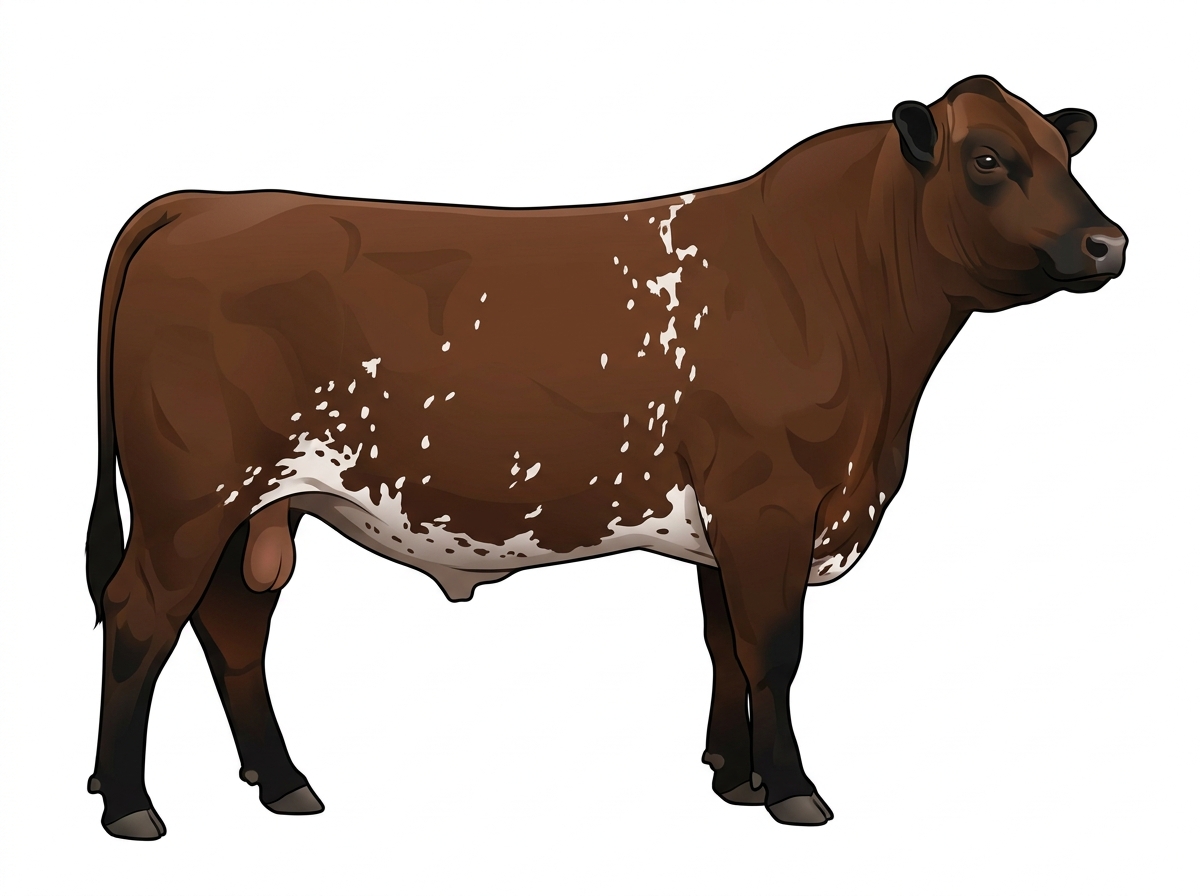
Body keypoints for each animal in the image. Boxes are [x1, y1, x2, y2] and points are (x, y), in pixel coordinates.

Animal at [84, 75, 1126, 839]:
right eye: (988, 158)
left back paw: (282, 781)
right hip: (189, 497)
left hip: (257, 505)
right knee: (141, 617)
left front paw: (734, 778)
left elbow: (725, 645)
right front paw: (793, 792)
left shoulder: (727, 519)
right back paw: (129, 806)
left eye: (1065, 151)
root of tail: (200, 203)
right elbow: (775, 649)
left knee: (232, 628)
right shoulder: (770, 501)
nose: (1107, 242)